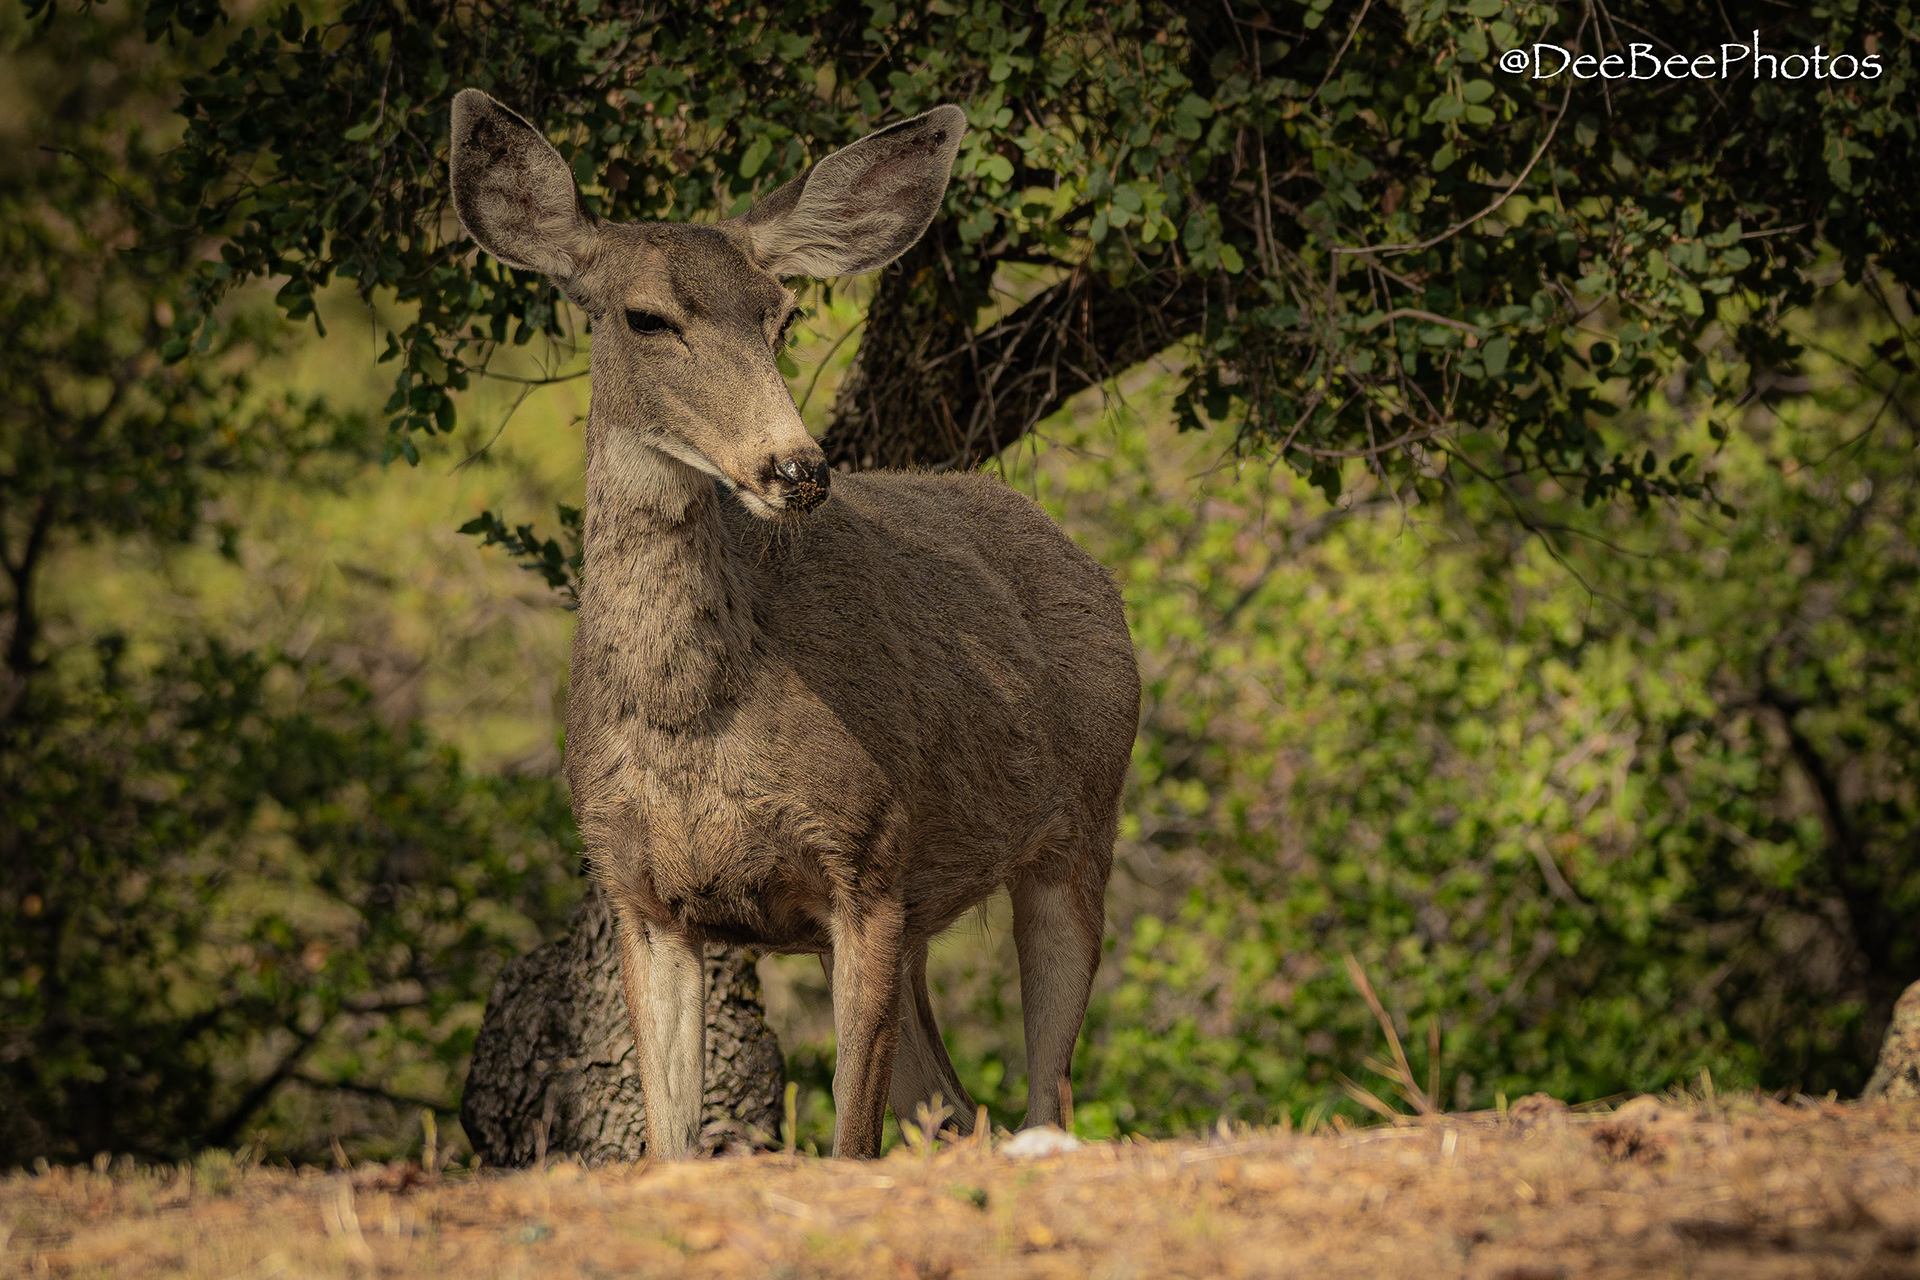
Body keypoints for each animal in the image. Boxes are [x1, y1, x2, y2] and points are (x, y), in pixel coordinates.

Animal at [448, 89, 1140, 1159]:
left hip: (1080, 827)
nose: (797, 467)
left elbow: (852, 1142)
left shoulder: (870, 858)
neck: (694, 717)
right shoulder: (641, 893)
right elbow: (672, 1143)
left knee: (1043, 1098)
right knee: (954, 1105)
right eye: (646, 317)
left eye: (781, 314)